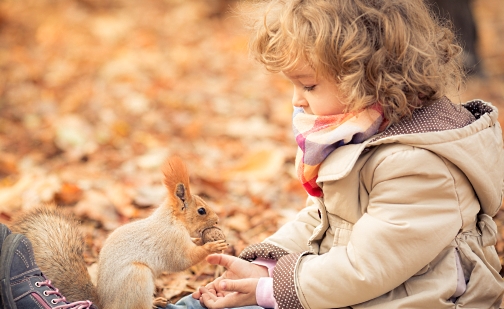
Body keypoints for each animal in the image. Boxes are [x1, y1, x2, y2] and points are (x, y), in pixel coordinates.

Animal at [8, 156, 228, 308]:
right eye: (201, 211)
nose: (217, 220)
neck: (172, 220)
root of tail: (105, 304)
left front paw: (203, 241)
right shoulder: (170, 240)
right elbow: (183, 259)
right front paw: (212, 246)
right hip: (137, 276)